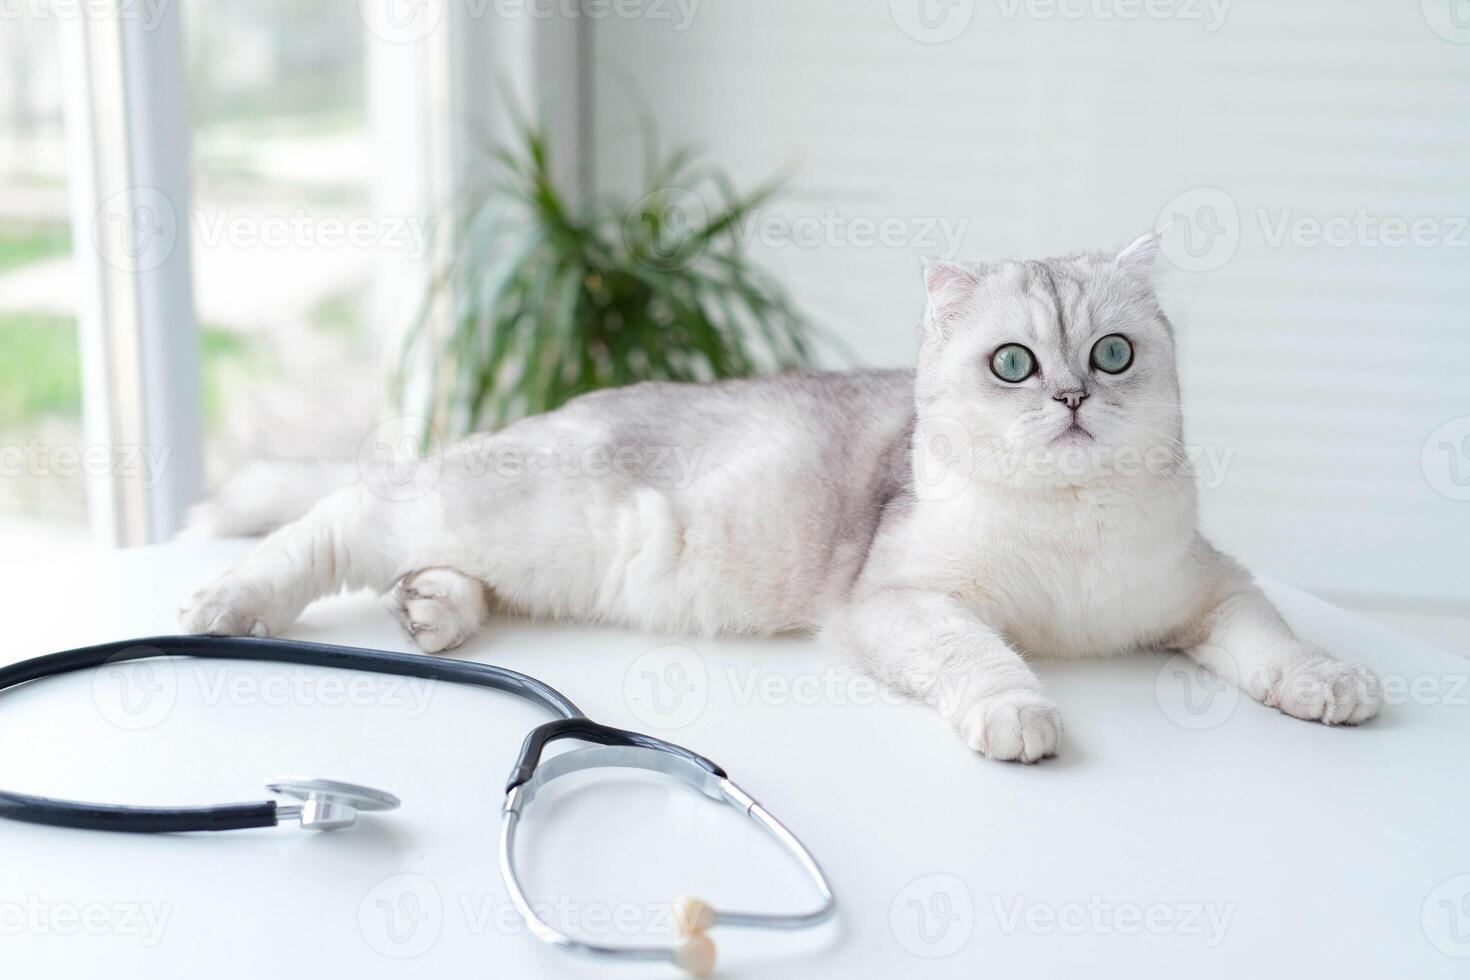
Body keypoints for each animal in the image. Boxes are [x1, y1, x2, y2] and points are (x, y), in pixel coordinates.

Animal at [183, 233, 1375, 764]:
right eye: (1015, 365)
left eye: (1114, 352)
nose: (1075, 395)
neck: (1071, 525)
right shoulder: (900, 601)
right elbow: (982, 656)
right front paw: (1019, 712)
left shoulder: (1212, 588)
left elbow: (1274, 641)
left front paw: (1332, 683)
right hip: (499, 509)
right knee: (341, 519)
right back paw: (228, 602)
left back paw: (434, 610)